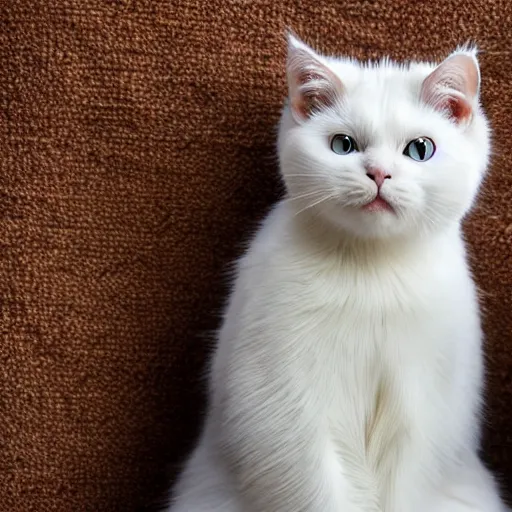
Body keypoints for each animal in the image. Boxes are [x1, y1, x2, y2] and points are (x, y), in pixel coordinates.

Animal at [166, 34, 506, 510]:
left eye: (420, 149)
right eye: (343, 145)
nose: (378, 173)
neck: (373, 270)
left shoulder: (423, 408)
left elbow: (404, 483)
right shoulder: (283, 404)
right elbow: (313, 485)